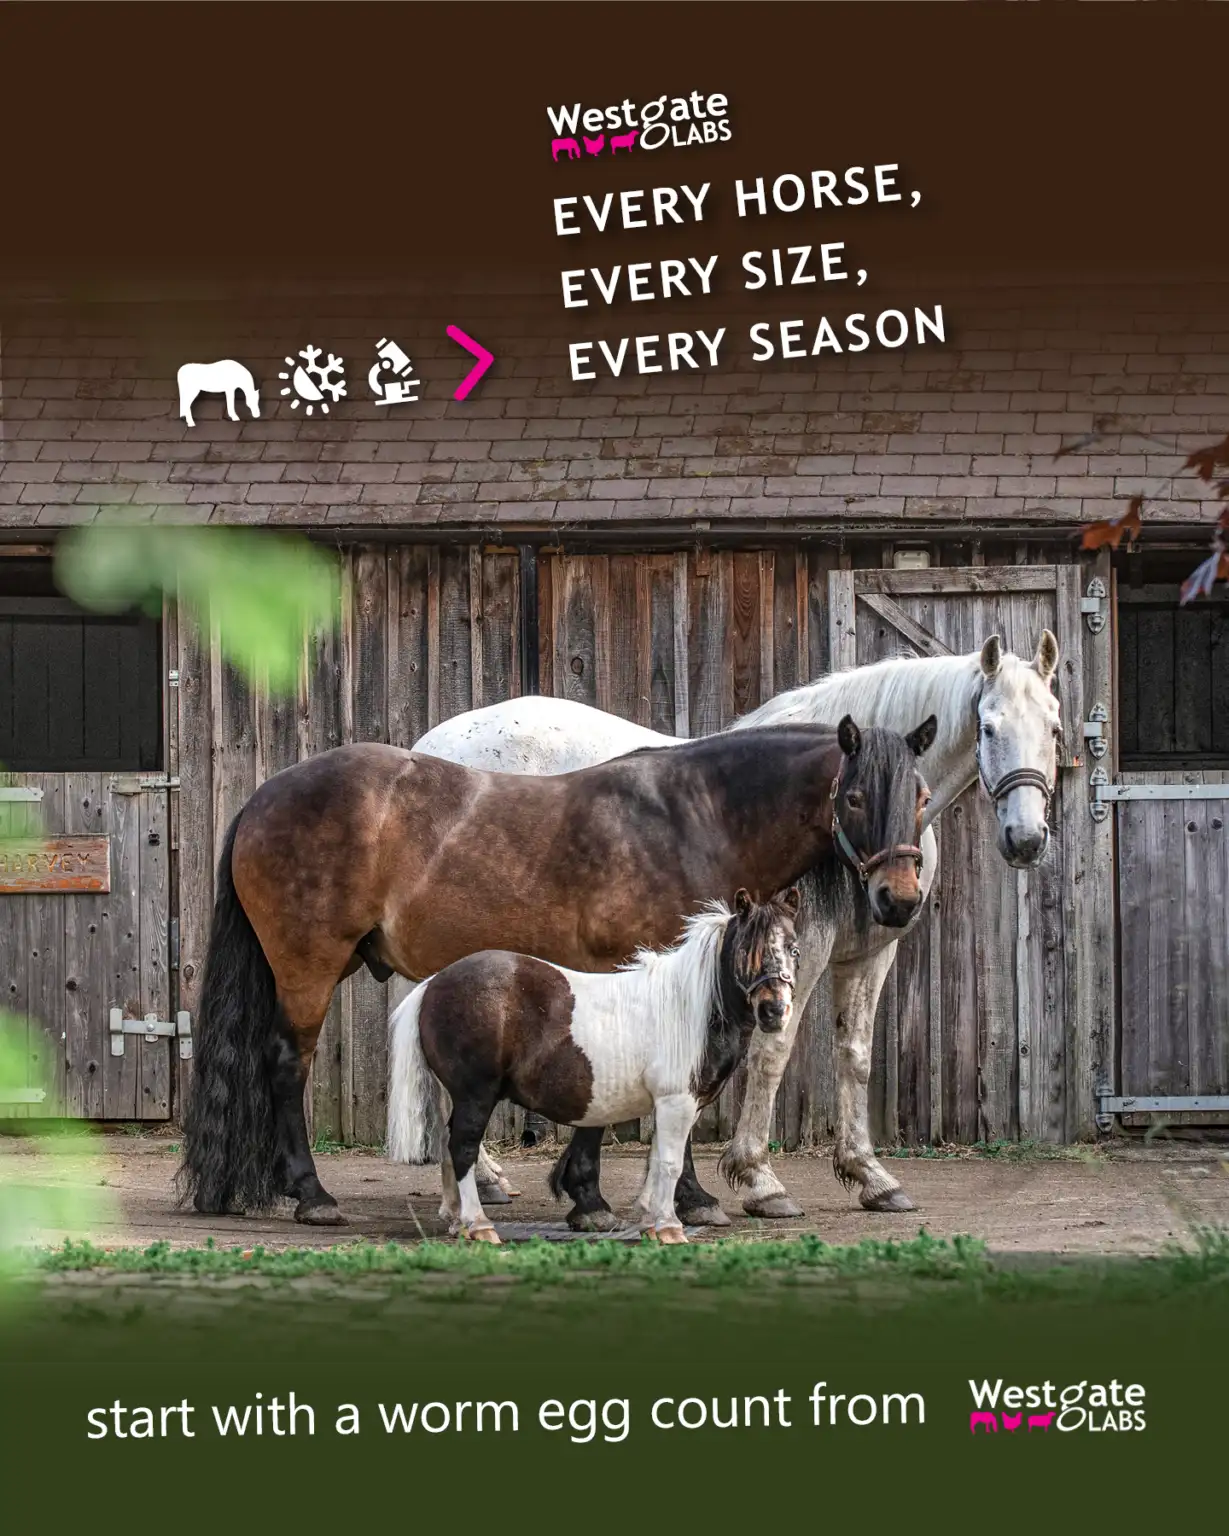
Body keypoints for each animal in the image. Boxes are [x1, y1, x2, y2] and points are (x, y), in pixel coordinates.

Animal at [388, 889, 801, 1245]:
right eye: (747, 949)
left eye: (794, 949)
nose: (774, 1011)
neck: (688, 1006)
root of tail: (432, 984)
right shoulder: (676, 1102)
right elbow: (670, 1163)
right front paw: (669, 1227)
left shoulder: (671, 1104)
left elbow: (657, 1162)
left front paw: (651, 1221)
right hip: (476, 1095)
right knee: (462, 1148)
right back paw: (478, 1224)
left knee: (449, 1145)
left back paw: (457, 1220)